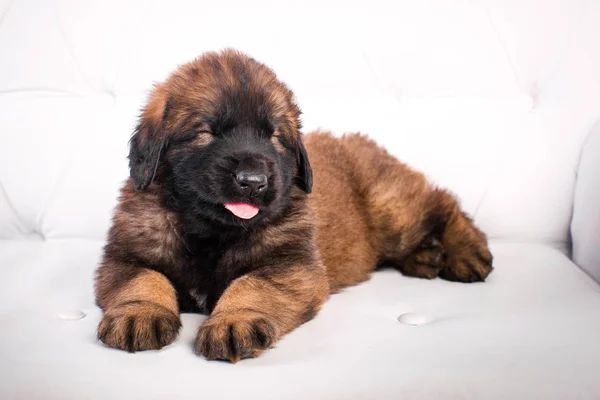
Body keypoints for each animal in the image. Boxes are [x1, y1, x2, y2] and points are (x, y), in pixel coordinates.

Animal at [95, 48, 492, 360]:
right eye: (206, 132)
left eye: (274, 137)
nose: (253, 181)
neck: (211, 231)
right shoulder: (125, 256)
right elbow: (143, 279)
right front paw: (138, 314)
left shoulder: (290, 264)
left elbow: (251, 286)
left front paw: (234, 321)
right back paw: (427, 258)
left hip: (391, 210)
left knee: (440, 202)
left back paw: (467, 253)